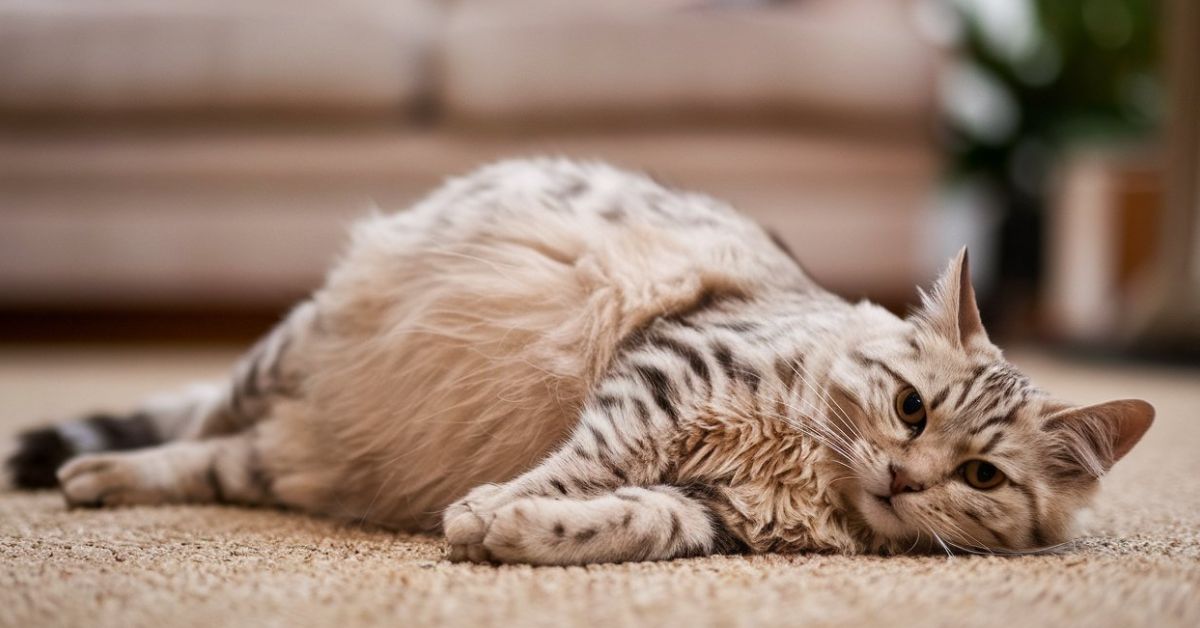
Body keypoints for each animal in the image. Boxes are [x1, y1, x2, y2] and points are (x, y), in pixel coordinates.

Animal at [4, 157, 1156, 564]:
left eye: (980, 476)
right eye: (911, 409)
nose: (905, 477)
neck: (808, 477)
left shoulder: (706, 509)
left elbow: (616, 518)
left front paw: (506, 532)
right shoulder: (668, 371)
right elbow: (580, 465)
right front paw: (487, 509)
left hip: (281, 451)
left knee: (213, 461)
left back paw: (101, 477)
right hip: (284, 353)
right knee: (202, 420)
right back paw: (88, 471)